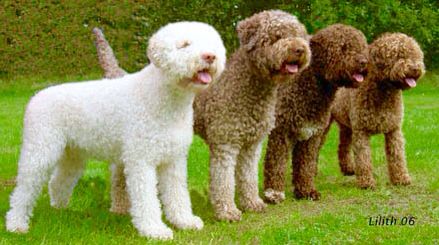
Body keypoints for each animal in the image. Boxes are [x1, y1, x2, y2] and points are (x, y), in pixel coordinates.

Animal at [5, 21, 227, 239]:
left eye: (211, 44)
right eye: (184, 45)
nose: (210, 56)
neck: (162, 97)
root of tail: (35, 97)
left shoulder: (173, 160)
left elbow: (177, 194)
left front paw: (184, 221)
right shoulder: (141, 160)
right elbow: (146, 199)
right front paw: (154, 229)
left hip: (72, 154)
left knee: (57, 182)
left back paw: (60, 210)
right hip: (40, 150)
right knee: (23, 189)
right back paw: (16, 224)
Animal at [262, 23, 370, 204]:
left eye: (362, 47)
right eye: (343, 47)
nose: (364, 62)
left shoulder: (311, 135)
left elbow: (305, 165)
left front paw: (306, 191)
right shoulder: (280, 134)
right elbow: (276, 165)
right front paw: (274, 193)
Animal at [328, 33, 424, 188]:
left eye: (416, 55)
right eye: (399, 55)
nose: (415, 68)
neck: (382, 92)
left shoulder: (394, 130)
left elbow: (397, 156)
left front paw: (401, 178)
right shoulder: (361, 131)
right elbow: (363, 158)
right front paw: (366, 182)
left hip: (346, 127)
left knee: (342, 146)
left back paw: (348, 169)